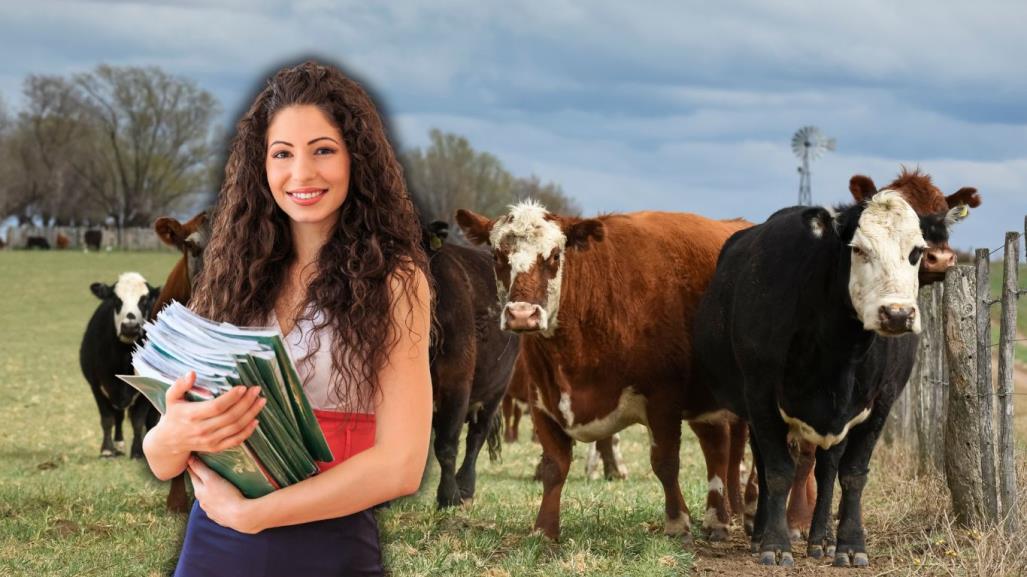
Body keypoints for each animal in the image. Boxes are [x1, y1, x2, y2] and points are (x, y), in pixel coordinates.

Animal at [80, 271, 160, 455]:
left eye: (144, 301)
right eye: (116, 300)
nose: (130, 326)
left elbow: (138, 420)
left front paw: (137, 451)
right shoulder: (97, 386)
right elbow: (107, 418)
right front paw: (107, 450)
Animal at [455, 201, 747, 537]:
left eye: (555, 256)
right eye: (497, 256)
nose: (522, 315)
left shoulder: (663, 399)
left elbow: (665, 462)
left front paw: (676, 521)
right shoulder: (543, 400)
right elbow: (554, 466)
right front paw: (545, 528)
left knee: (733, 453)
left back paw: (738, 512)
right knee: (717, 446)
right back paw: (719, 516)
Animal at [694, 189, 936, 566]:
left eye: (916, 252)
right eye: (858, 249)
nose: (897, 314)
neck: (840, 352)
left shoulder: (882, 401)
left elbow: (852, 474)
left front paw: (850, 545)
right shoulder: (761, 394)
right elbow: (778, 471)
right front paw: (775, 544)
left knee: (826, 470)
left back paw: (822, 540)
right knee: (765, 465)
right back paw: (761, 534)